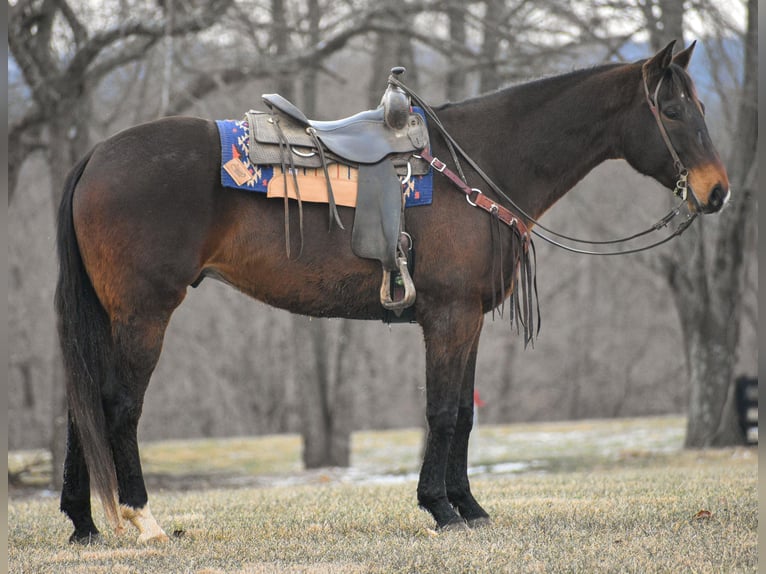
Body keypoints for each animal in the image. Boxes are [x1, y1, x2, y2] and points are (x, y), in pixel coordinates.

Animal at [55, 40, 732, 544]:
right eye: (674, 111)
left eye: (699, 105)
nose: (717, 190)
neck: (480, 166)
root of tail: (95, 157)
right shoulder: (450, 317)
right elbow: (442, 412)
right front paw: (441, 507)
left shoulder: (468, 320)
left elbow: (462, 413)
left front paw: (469, 506)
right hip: (143, 315)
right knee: (118, 406)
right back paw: (143, 519)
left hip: (110, 318)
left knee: (81, 407)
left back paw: (85, 524)